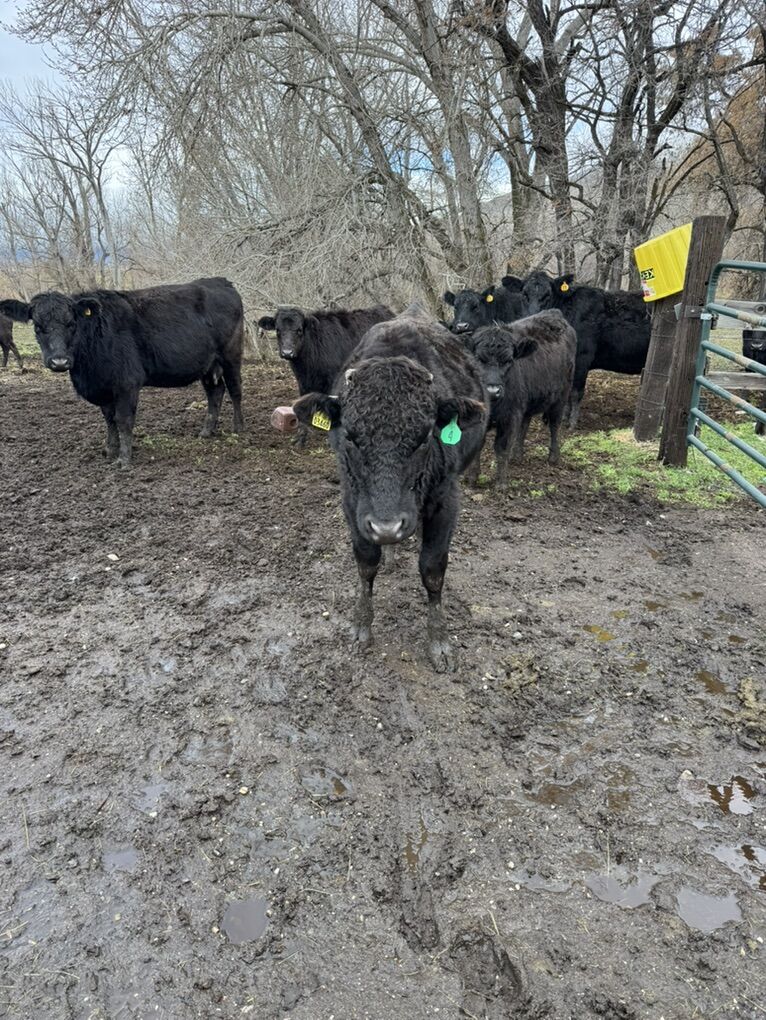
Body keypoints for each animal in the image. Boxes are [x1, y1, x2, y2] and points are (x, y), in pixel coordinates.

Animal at [0, 278, 244, 469]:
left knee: (235, 390)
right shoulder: (103, 389)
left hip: (231, 355)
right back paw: (206, 431)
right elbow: (110, 420)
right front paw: (110, 450)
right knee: (215, 392)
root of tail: (221, 281)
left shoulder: (127, 384)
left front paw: (124, 459)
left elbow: (124, 420)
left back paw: (238, 428)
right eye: (37, 326)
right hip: (208, 365)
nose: (59, 361)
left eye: (71, 323)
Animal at [292, 303, 487, 671]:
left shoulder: (446, 500)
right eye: (350, 438)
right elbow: (366, 562)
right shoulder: (352, 501)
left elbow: (432, 569)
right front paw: (361, 627)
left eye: (424, 438)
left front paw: (439, 641)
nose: (387, 526)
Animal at [465, 311, 576, 484]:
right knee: (525, 424)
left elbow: (502, 447)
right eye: (478, 358)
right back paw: (517, 456)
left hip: (561, 397)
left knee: (554, 425)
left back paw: (553, 457)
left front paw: (501, 482)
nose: (493, 390)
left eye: (508, 360)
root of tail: (554, 315)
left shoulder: (510, 417)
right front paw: (472, 477)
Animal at [521, 270, 650, 427]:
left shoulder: (582, 357)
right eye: (524, 294)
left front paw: (572, 423)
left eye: (548, 295)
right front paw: (564, 418)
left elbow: (576, 392)